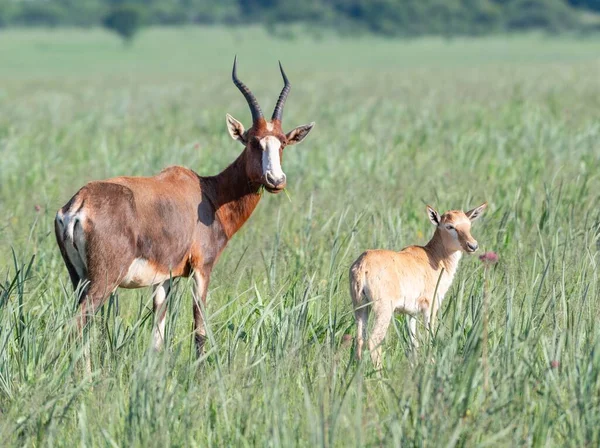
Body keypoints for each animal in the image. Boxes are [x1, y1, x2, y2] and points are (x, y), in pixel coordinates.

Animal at [56, 57, 316, 364]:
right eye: (254, 141)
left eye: (282, 143)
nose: (276, 180)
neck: (207, 193)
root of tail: (79, 204)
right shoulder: (202, 269)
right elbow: (199, 330)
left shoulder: (164, 279)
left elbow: (157, 337)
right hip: (103, 280)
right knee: (78, 325)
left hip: (78, 278)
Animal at [350, 203, 486, 368]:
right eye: (450, 226)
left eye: (468, 224)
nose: (473, 246)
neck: (432, 256)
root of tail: (362, 264)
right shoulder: (430, 308)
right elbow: (429, 337)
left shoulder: (411, 313)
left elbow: (413, 342)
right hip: (383, 310)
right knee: (374, 340)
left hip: (360, 307)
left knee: (360, 339)